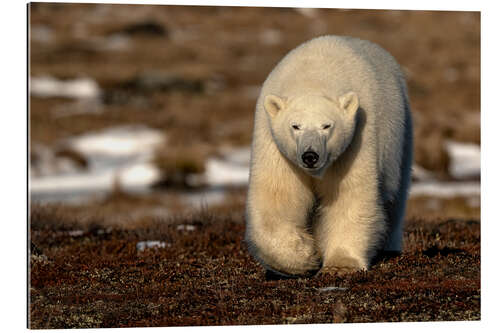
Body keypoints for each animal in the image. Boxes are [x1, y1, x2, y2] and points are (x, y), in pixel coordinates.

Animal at [244, 35, 412, 276]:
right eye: (295, 126)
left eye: (327, 126)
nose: (310, 156)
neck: (313, 78)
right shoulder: (273, 143)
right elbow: (278, 195)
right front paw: (304, 255)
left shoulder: (356, 141)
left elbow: (349, 196)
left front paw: (340, 265)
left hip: (400, 136)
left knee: (395, 198)